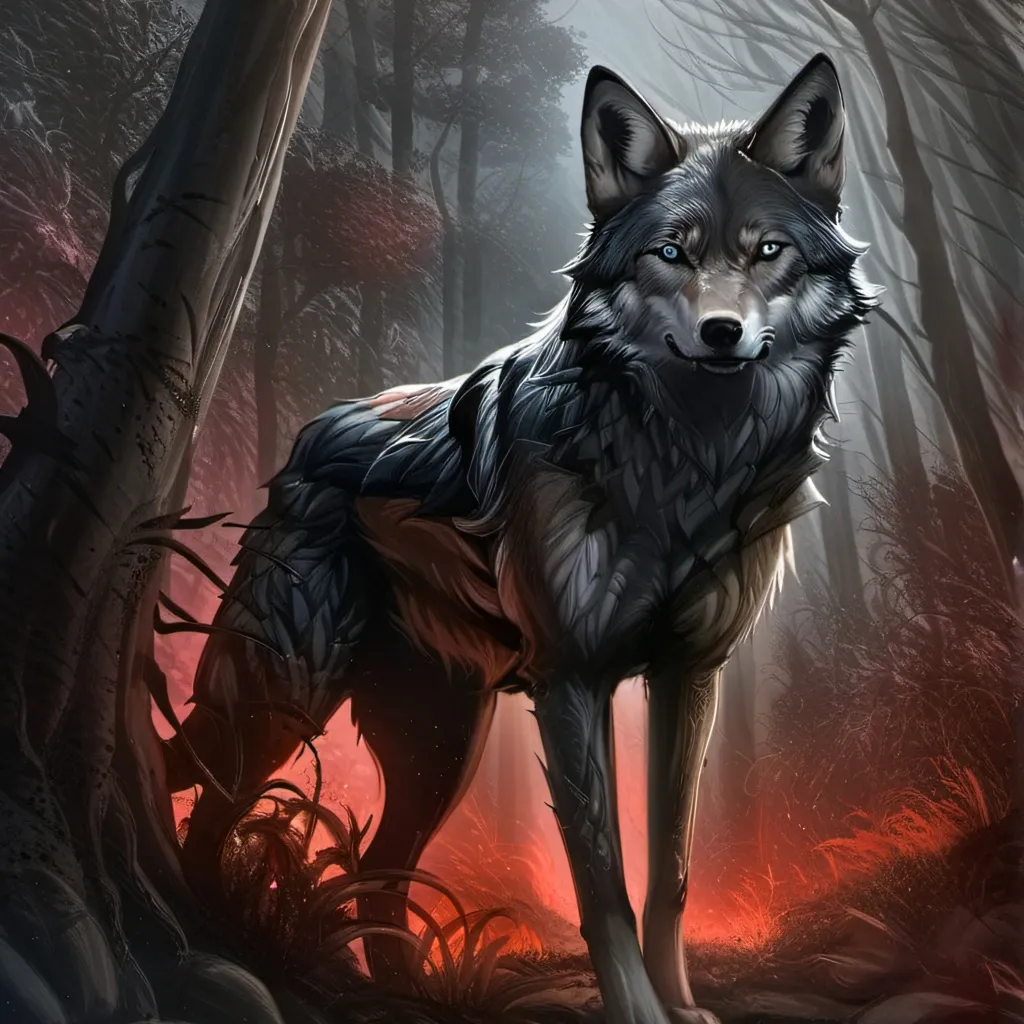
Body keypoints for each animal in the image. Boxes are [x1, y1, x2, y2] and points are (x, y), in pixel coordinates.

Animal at [165, 53, 879, 1024]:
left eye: (768, 250)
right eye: (671, 252)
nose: (722, 333)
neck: (686, 459)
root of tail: (307, 438)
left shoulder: (690, 674)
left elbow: (672, 872)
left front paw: (680, 1006)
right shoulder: (572, 680)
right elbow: (604, 884)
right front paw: (638, 1011)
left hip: (440, 746)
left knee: (382, 866)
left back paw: (409, 994)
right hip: (286, 698)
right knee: (215, 811)